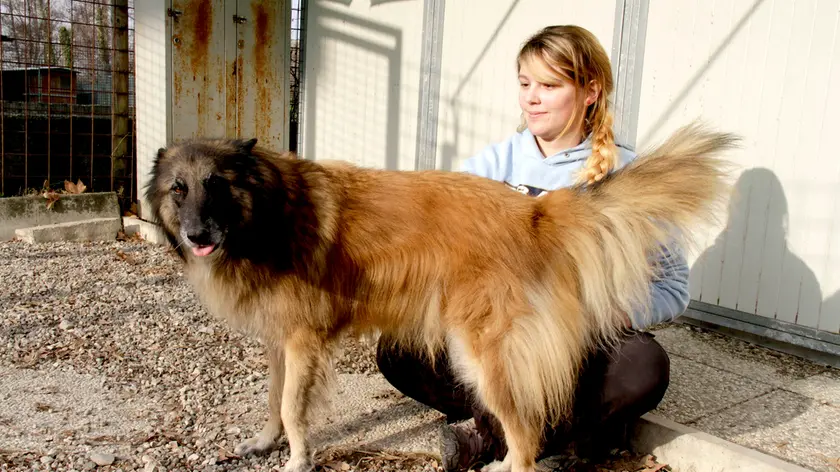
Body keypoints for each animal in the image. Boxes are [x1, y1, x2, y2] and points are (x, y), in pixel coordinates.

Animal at [148, 123, 740, 472]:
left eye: (217, 185)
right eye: (179, 188)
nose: (198, 236)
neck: (268, 210)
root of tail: (535, 212)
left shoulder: (302, 342)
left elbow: (294, 409)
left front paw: (295, 460)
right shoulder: (278, 341)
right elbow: (275, 401)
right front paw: (264, 442)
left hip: (485, 355)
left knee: (526, 435)